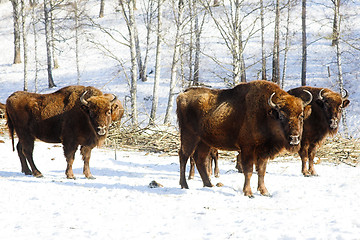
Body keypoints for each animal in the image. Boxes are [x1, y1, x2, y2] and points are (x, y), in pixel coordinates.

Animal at [177, 80, 312, 197]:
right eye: (282, 115)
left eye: (301, 115)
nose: (294, 138)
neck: (266, 113)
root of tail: (183, 94)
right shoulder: (247, 148)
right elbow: (249, 170)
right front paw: (248, 193)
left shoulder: (263, 151)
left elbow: (261, 170)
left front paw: (265, 192)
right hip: (189, 136)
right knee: (183, 156)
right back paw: (184, 185)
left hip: (204, 141)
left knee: (199, 158)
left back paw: (209, 184)